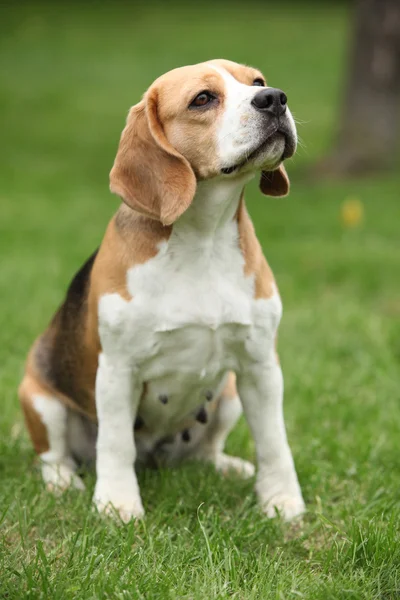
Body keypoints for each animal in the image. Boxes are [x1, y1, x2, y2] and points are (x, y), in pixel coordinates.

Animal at [18, 58, 304, 524]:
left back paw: (227, 466)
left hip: (228, 395)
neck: (203, 239)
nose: (275, 98)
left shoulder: (260, 364)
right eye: (202, 99)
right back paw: (64, 482)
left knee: (205, 450)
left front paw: (282, 502)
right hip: (39, 397)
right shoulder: (118, 369)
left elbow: (274, 441)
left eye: (257, 82)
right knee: (54, 455)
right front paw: (117, 505)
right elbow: (115, 443)